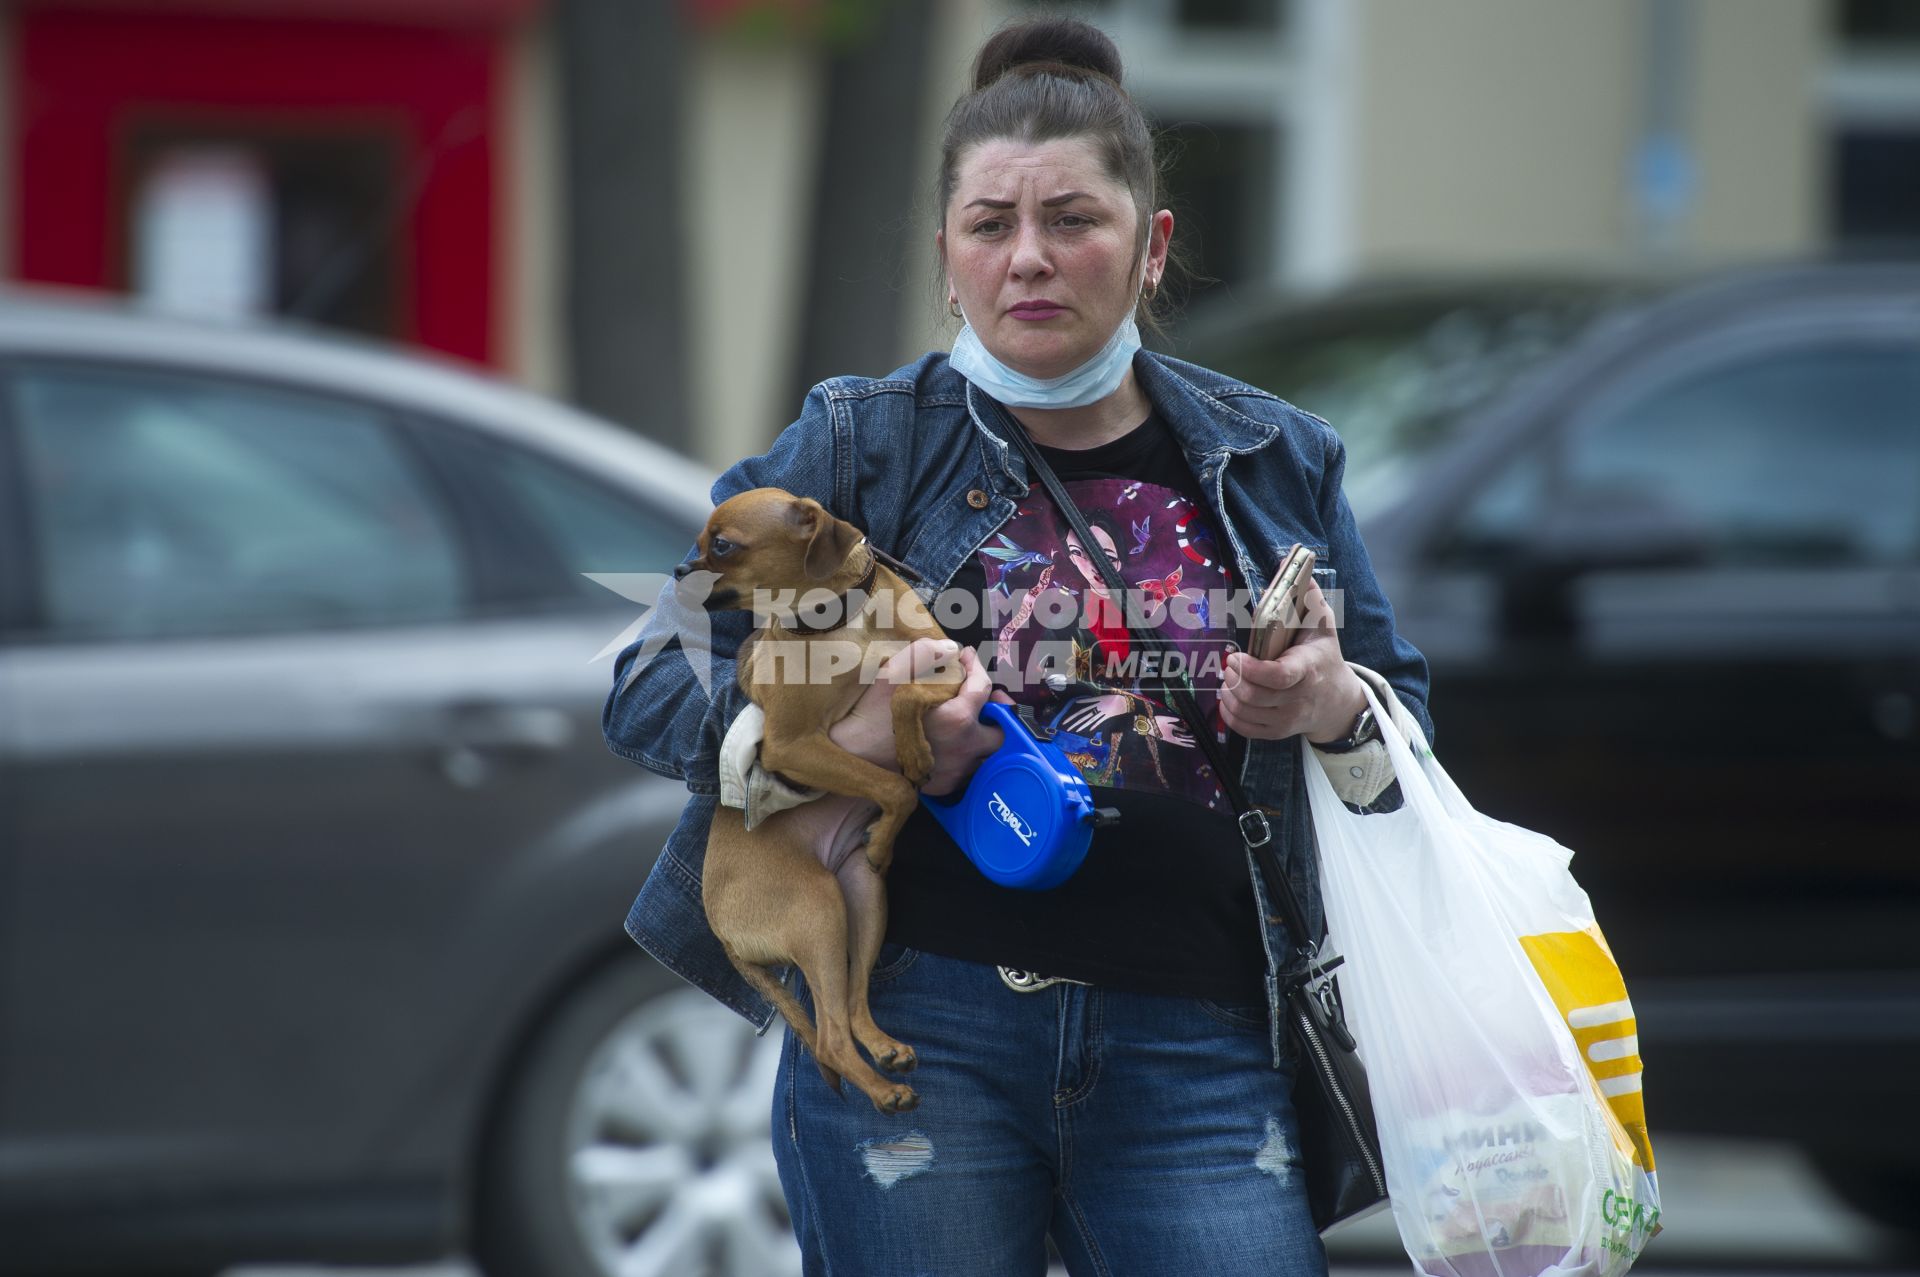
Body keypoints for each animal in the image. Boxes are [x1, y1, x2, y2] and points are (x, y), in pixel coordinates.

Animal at [687, 485, 967, 1106]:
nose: (678, 570)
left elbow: (905, 693)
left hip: (863, 900)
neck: (839, 620)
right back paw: (884, 1093)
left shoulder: (954, 667)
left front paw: (914, 752)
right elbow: (893, 784)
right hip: (818, 911)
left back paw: (885, 1050)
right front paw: (908, 776)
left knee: (853, 1011)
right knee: (831, 1038)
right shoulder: (792, 747)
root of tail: (719, 930)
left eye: (722, 546)